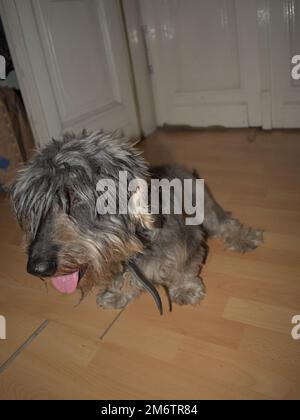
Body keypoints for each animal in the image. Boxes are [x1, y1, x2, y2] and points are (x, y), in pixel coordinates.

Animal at [9, 131, 262, 312]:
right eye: (33, 208)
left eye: (72, 197)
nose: (37, 268)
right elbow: (123, 276)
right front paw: (117, 293)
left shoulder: (188, 243)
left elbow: (183, 267)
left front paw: (185, 288)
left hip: (204, 208)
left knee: (225, 223)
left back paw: (245, 238)